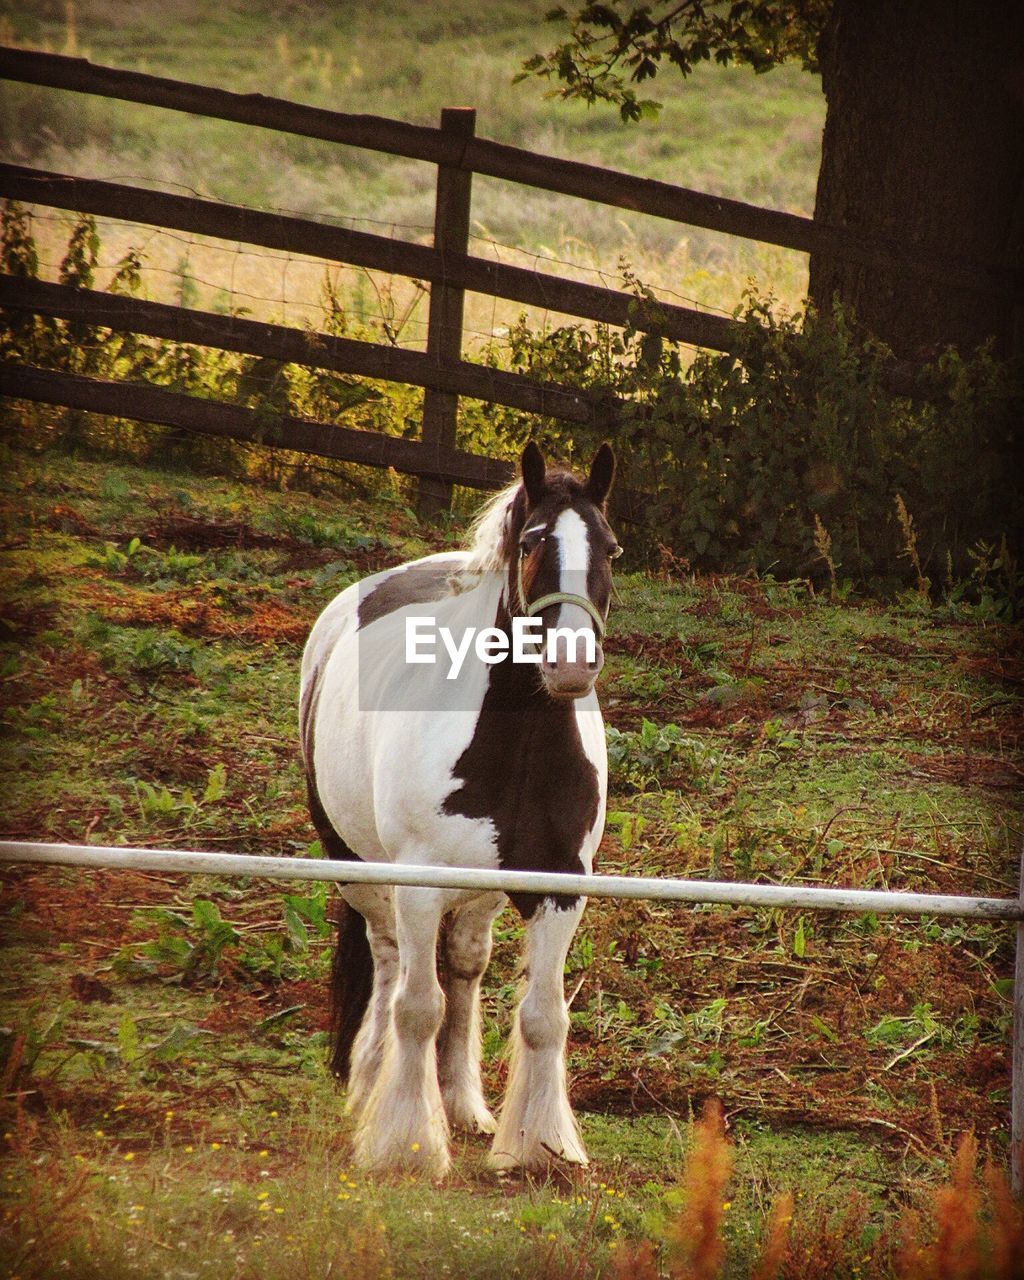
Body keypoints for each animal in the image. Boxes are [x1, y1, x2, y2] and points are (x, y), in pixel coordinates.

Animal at [295, 445, 616, 1172]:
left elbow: (543, 1017)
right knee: (390, 963)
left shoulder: (559, 890)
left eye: (611, 548)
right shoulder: (417, 885)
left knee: (466, 971)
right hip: (362, 874)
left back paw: (463, 1103)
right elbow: (418, 1007)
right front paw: (407, 1144)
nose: (571, 664)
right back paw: (372, 1083)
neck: (513, 743)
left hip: (480, 896)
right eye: (531, 543)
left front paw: (539, 1145)